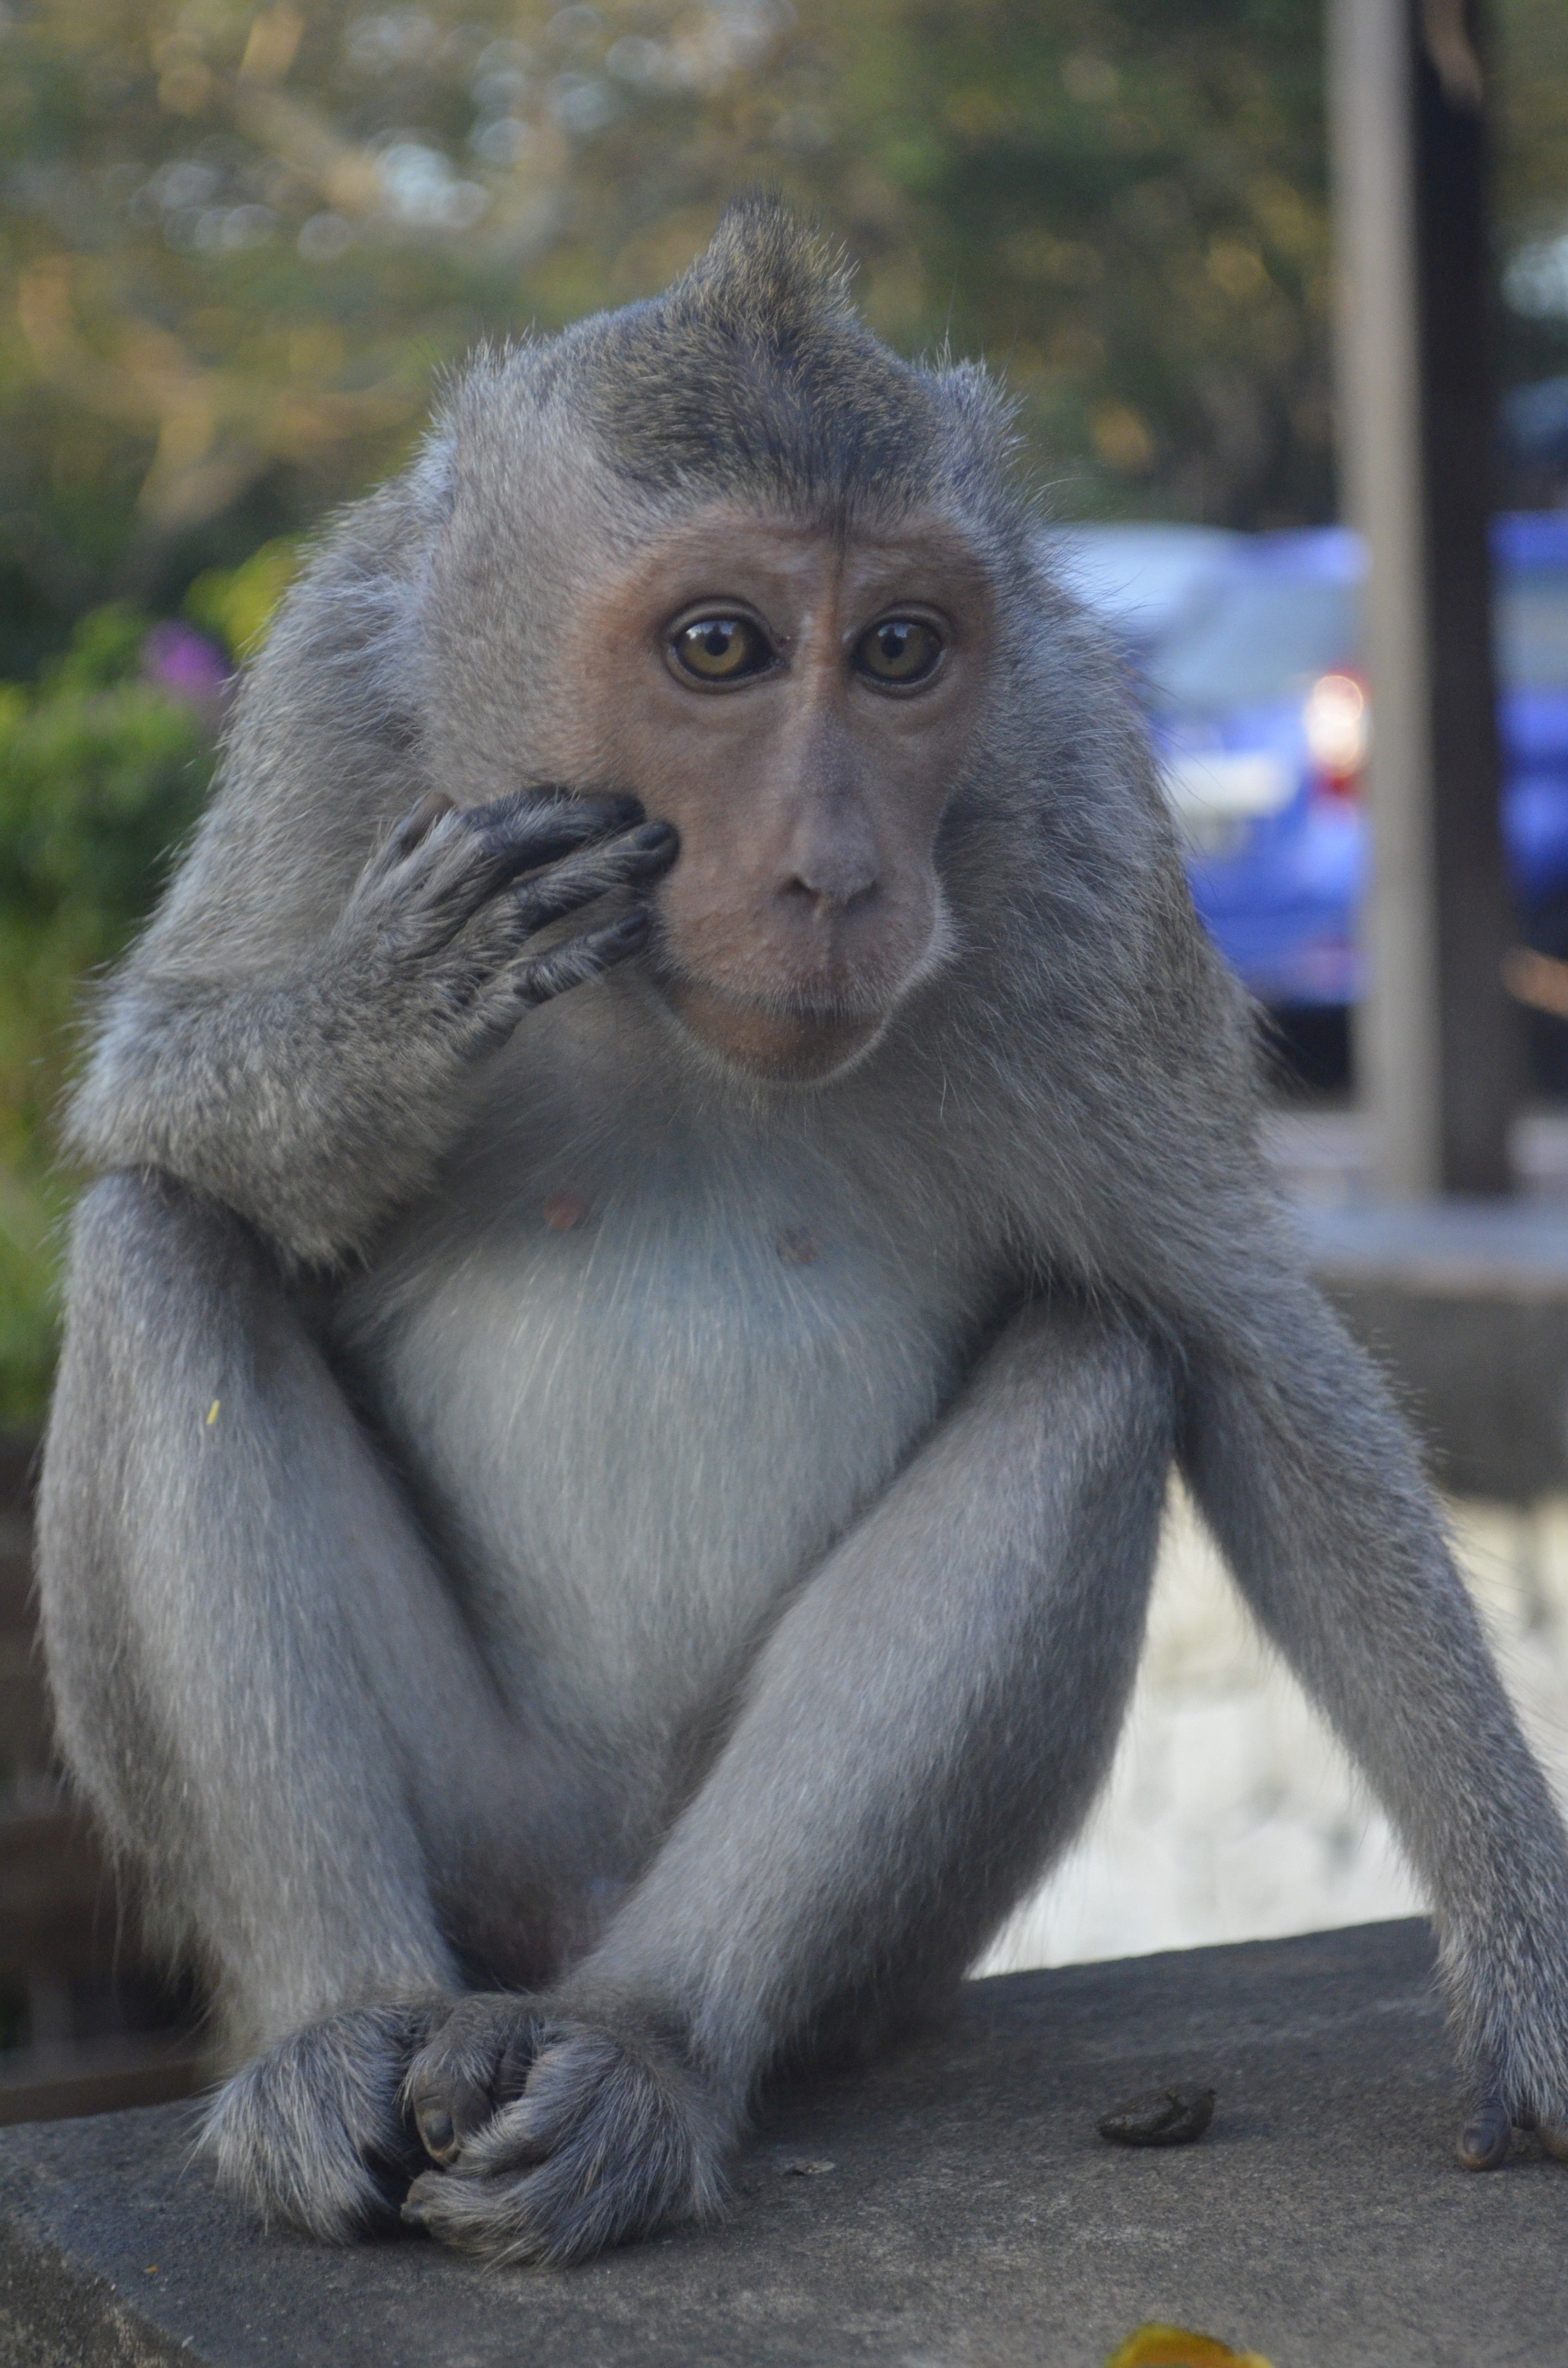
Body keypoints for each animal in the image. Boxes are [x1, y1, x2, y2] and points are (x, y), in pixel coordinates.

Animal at [34, 208, 1568, 2273]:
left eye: (903, 650)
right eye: (720, 647)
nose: (834, 874)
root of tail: (564, 1913)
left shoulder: (1076, 825)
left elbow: (1244, 1345)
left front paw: (1527, 1968)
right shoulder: (329, 709)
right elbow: (155, 1095)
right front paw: (387, 1020)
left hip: (848, 1937)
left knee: (1101, 1357)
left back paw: (642, 2049)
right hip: (476, 1820)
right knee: (160, 1246)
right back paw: (336, 2021)